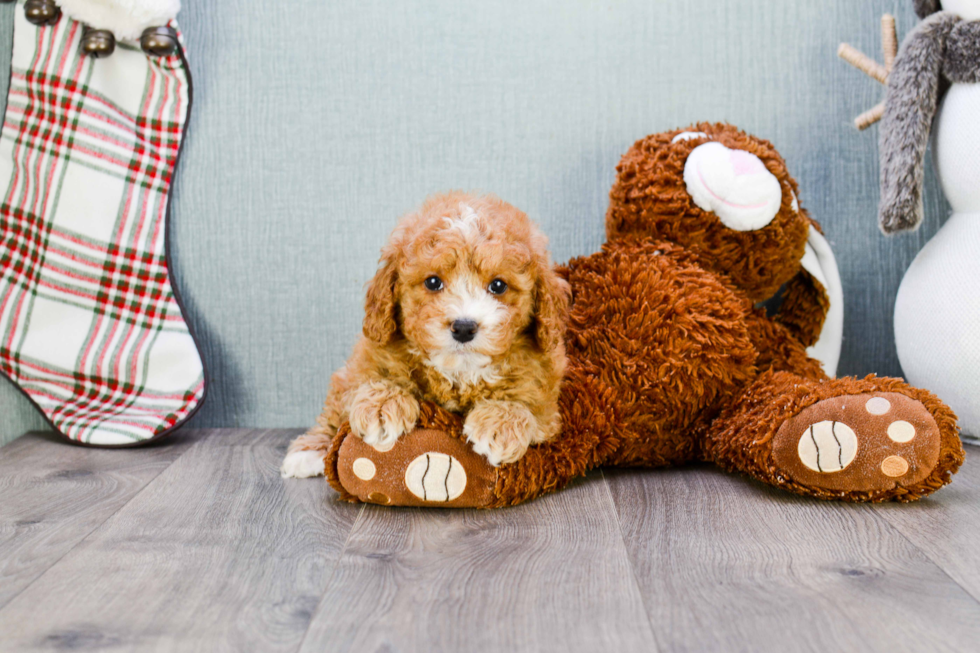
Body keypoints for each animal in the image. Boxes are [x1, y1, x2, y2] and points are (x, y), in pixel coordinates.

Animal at [280, 191, 572, 476]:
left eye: (498, 285)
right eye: (433, 282)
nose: (463, 327)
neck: (459, 373)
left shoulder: (545, 393)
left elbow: (529, 403)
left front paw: (500, 423)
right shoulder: (368, 357)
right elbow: (372, 379)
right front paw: (382, 406)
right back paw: (308, 452)